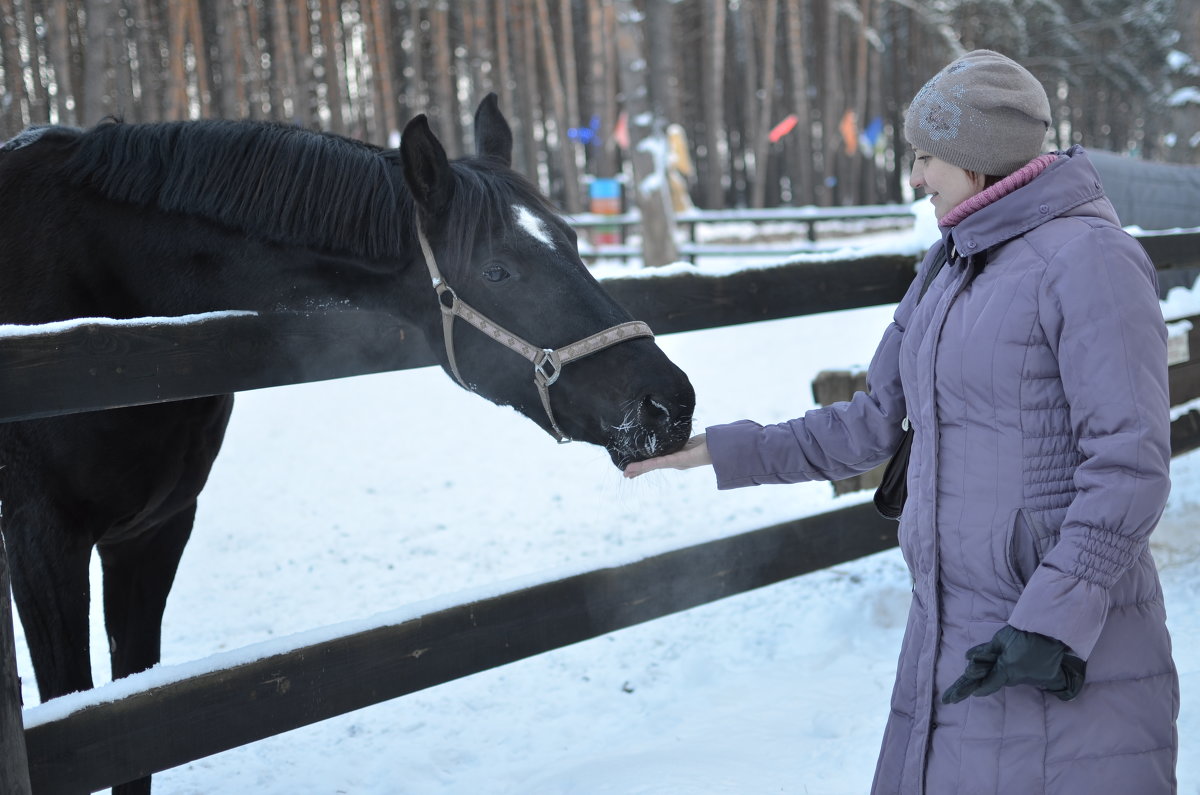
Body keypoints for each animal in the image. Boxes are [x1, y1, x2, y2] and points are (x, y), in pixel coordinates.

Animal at [0, 96, 696, 792]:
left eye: (575, 243)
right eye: (497, 269)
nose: (669, 403)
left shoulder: (154, 531)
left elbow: (131, 737)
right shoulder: (42, 542)